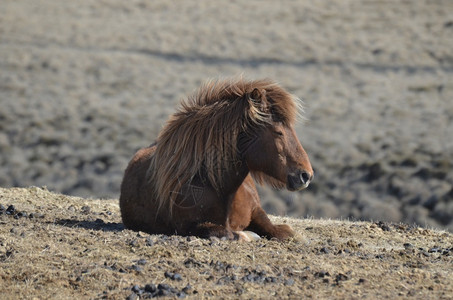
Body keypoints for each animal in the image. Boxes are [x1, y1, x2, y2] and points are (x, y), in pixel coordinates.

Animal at [118, 78, 312, 241]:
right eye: (278, 132)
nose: (306, 175)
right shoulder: (191, 226)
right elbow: (229, 233)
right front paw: (247, 235)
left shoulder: (257, 210)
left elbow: (281, 231)